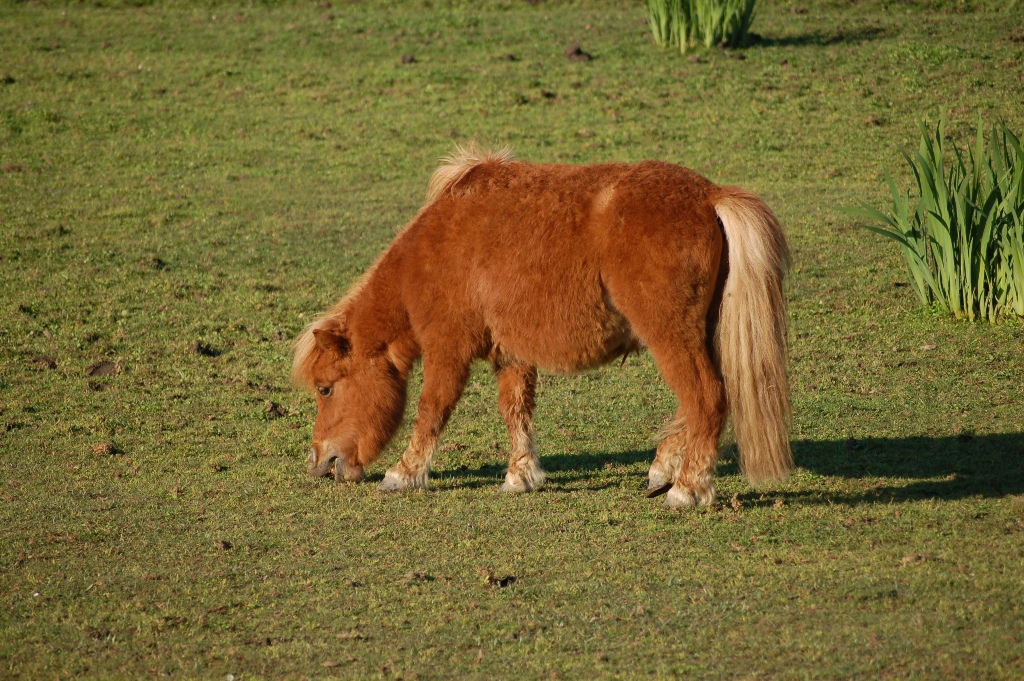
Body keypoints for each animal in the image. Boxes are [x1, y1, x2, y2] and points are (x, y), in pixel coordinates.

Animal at [292, 146, 786, 507]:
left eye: (325, 388)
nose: (317, 461)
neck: (436, 247)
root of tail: (709, 195)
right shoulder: (511, 353)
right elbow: (516, 410)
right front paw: (520, 475)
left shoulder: (448, 349)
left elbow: (433, 409)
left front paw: (405, 473)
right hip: (699, 335)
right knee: (700, 403)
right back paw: (664, 468)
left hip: (672, 337)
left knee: (707, 398)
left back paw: (687, 488)